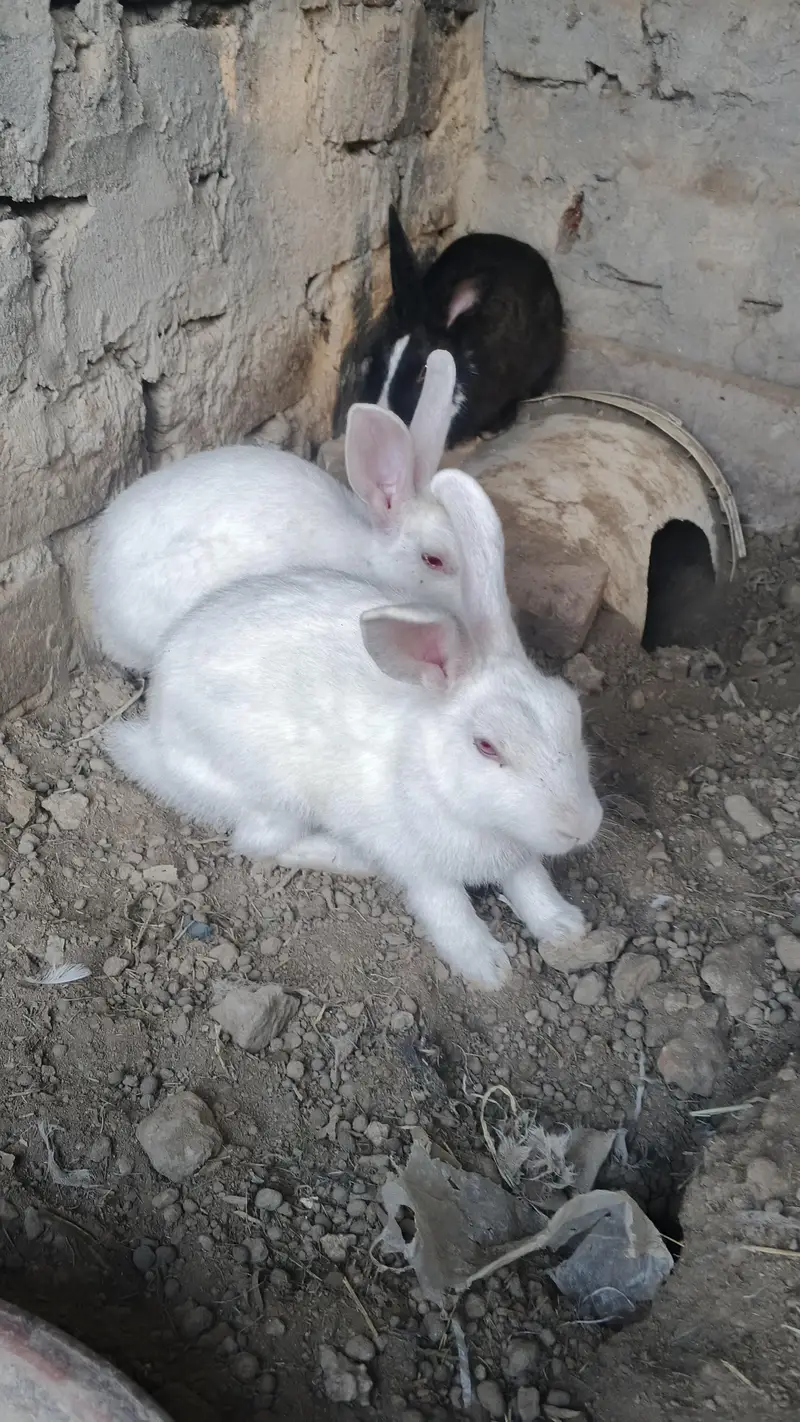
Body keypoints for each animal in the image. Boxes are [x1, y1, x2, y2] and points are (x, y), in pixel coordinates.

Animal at [105, 468, 602, 991]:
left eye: (572, 715)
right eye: (486, 746)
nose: (581, 828)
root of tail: (156, 742)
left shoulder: (519, 856)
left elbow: (531, 882)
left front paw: (565, 926)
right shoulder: (420, 866)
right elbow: (448, 909)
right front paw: (488, 967)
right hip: (275, 796)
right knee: (257, 842)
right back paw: (352, 858)